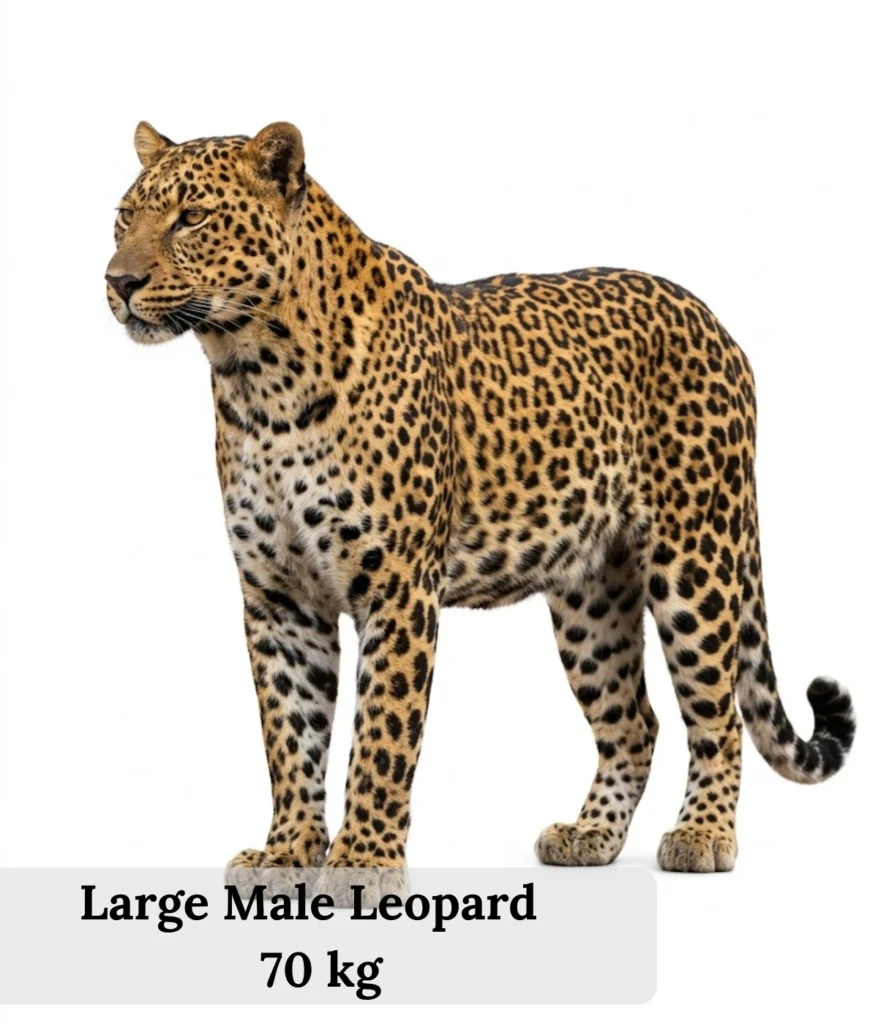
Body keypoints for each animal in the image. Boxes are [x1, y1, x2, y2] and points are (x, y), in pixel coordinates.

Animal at [106, 121, 855, 889]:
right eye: (124, 218)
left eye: (193, 218)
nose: (118, 281)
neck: (256, 378)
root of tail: (715, 323)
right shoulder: (278, 597)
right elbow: (291, 733)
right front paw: (287, 852)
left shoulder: (397, 587)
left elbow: (382, 733)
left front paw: (363, 861)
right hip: (590, 594)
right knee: (632, 722)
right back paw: (591, 834)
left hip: (696, 561)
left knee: (716, 715)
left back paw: (702, 833)